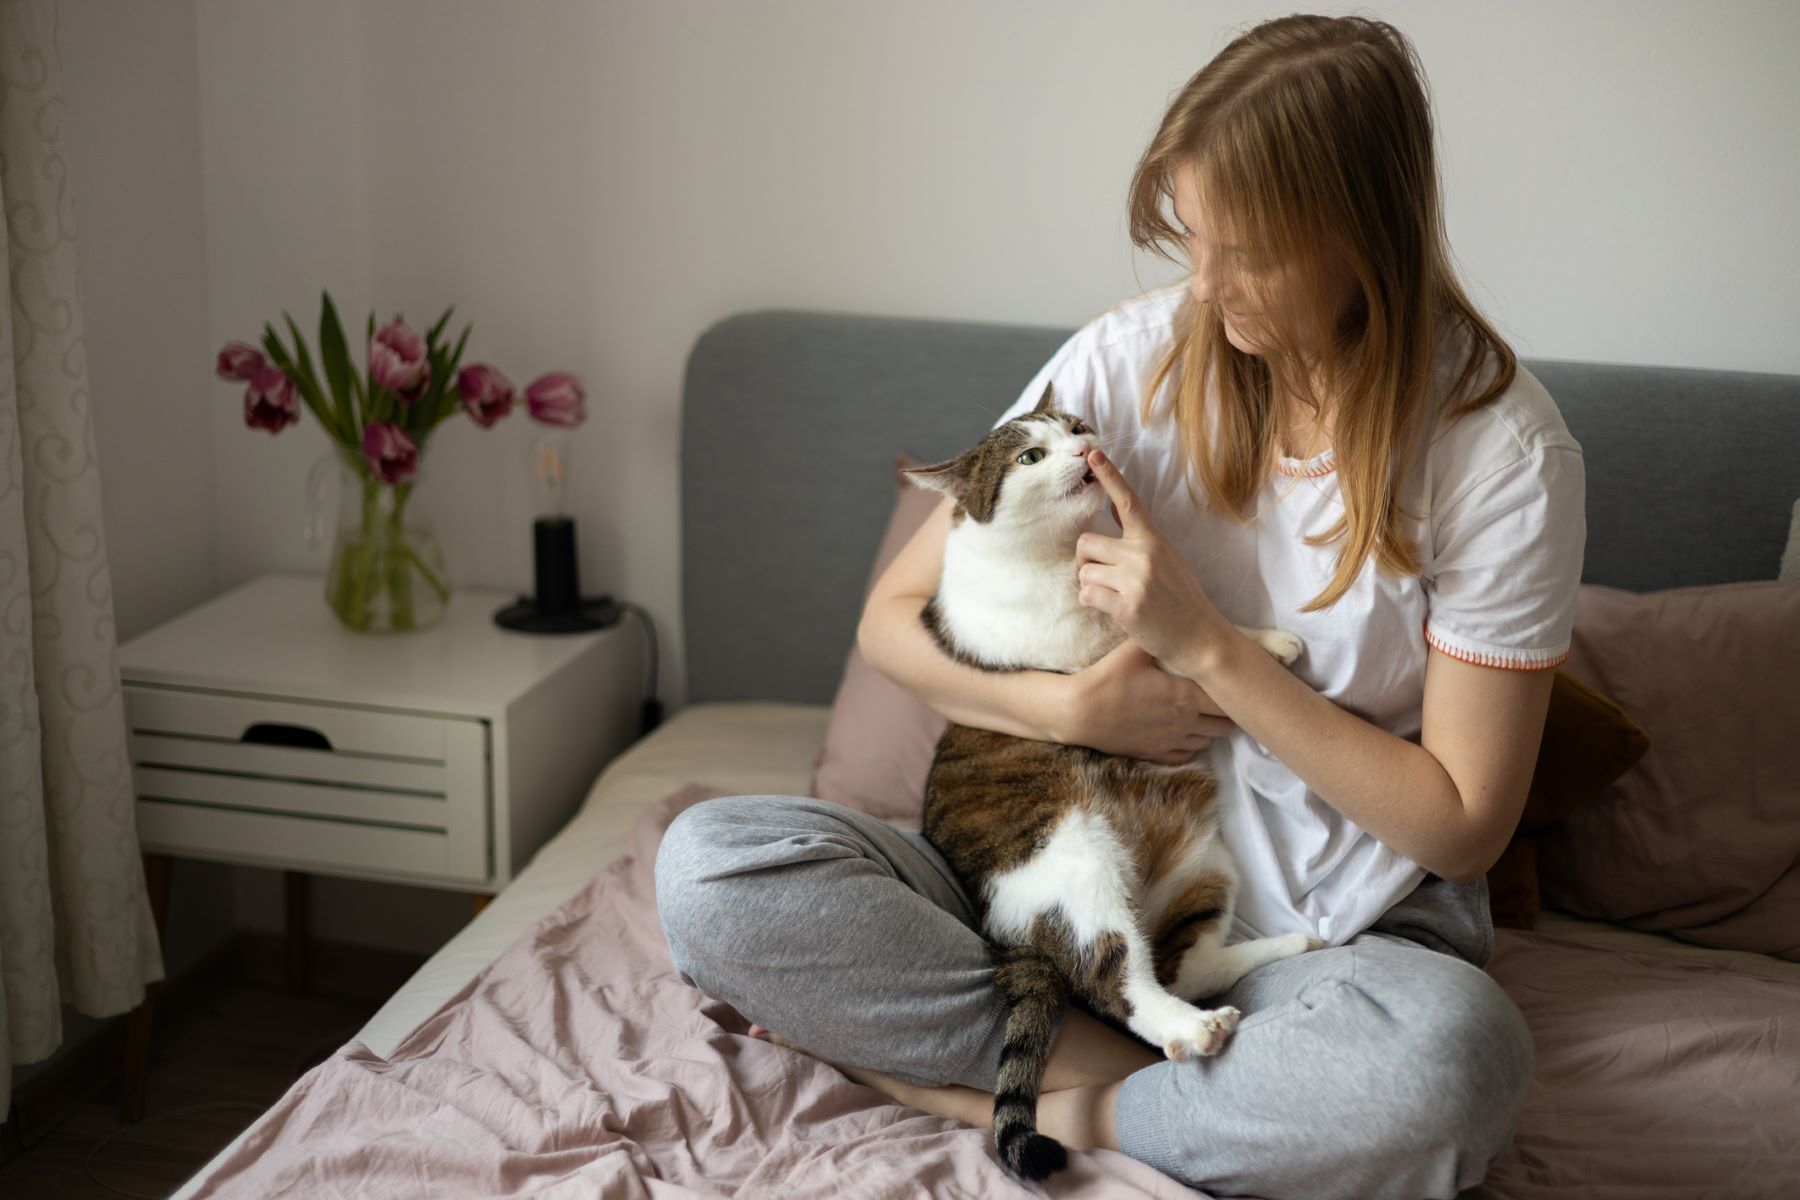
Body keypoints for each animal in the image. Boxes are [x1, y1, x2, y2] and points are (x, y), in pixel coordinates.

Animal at [914, 385, 1324, 1180]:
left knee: (1180, 965)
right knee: (1118, 982)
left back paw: (1286, 948)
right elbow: (1169, 649)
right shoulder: (1092, 653)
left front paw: (1260, 642)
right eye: (1030, 456)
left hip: (1207, 863)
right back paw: (1193, 1033)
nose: (1085, 448)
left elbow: (1198, 631)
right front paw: (1251, 647)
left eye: (1075, 427)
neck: (1060, 558)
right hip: (1076, 862)